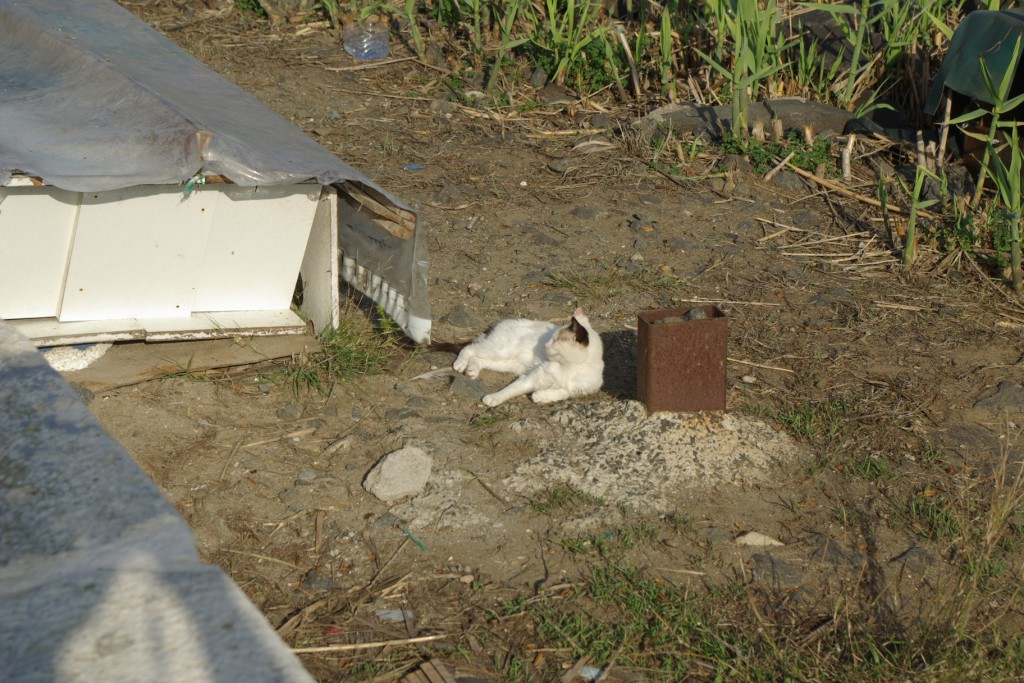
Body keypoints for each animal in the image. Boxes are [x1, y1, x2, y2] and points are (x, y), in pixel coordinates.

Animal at [452, 309, 602, 405]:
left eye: (555, 340)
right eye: (551, 338)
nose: (546, 345)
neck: (569, 367)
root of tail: (502, 323)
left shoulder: (581, 389)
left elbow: (564, 391)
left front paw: (541, 396)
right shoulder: (529, 378)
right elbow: (510, 390)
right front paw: (494, 398)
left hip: (507, 363)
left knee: (478, 359)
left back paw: (471, 370)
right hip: (500, 351)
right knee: (470, 348)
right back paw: (460, 364)